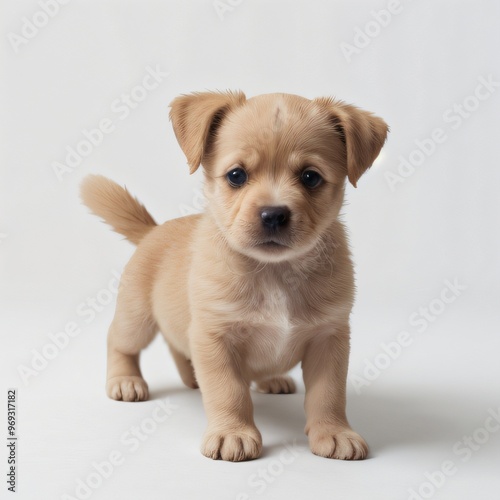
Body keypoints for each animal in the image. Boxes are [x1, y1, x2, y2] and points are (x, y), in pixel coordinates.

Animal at [80, 90, 388, 460]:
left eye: (311, 177)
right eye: (236, 175)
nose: (274, 214)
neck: (275, 273)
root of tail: (152, 231)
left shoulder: (328, 338)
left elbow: (328, 395)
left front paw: (334, 431)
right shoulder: (215, 337)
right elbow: (229, 392)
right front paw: (233, 432)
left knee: (178, 346)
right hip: (136, 318)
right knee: (118, 341)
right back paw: (125, 380)